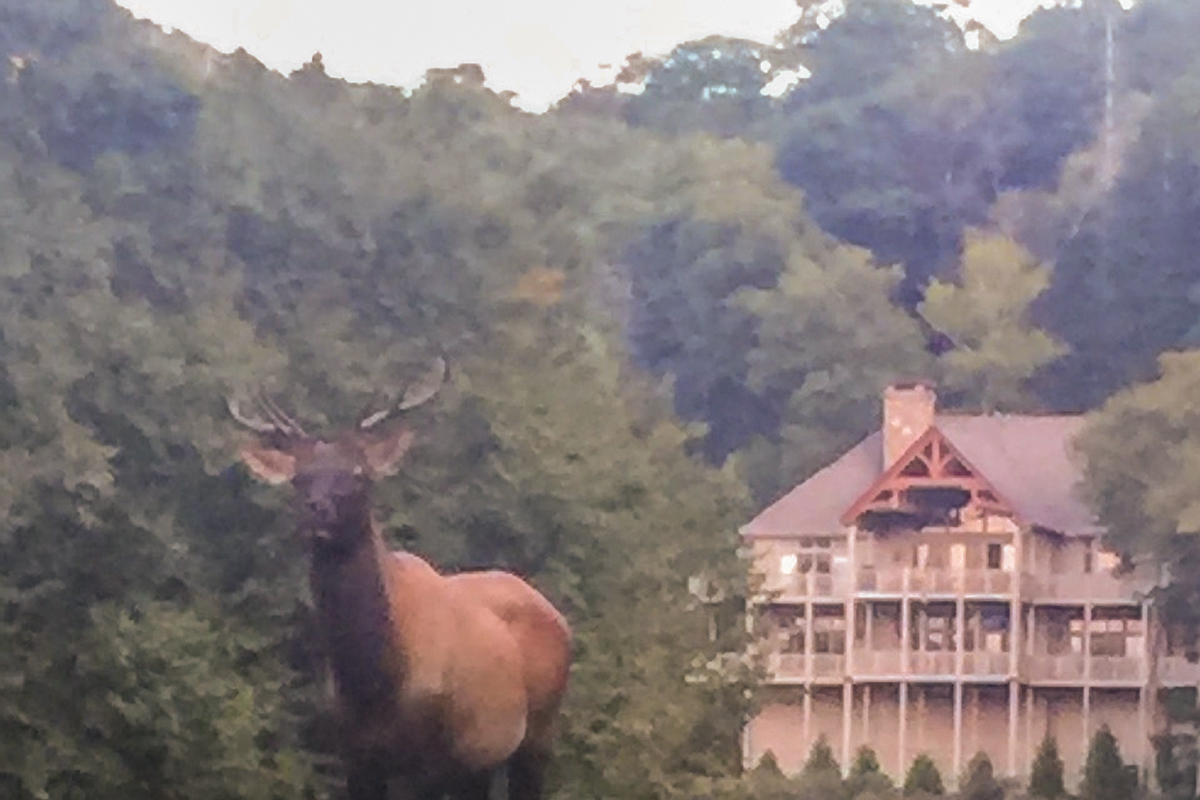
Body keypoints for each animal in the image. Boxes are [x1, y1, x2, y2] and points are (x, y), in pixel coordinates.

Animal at [232, 359, 576, 796]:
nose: (317, 513)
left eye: (359, 475)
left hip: (537, 732)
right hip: (481, 760)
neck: (376, 684)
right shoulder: (357, 754)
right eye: (299, 478)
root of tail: (560, 619)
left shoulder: (433, 762)